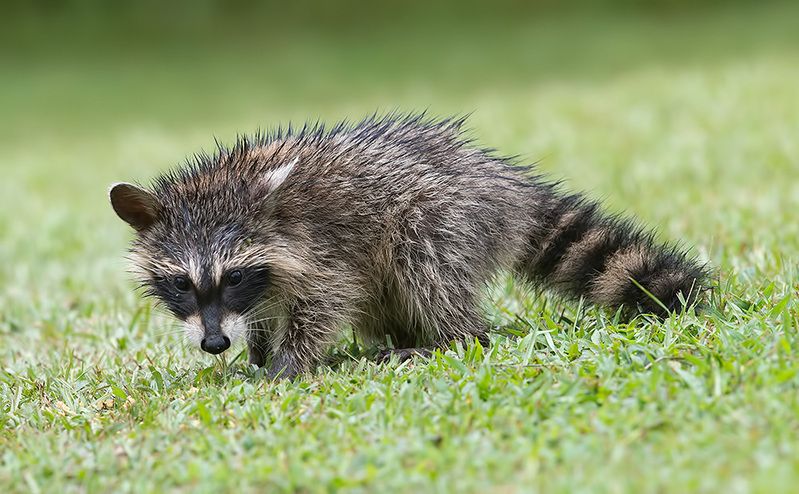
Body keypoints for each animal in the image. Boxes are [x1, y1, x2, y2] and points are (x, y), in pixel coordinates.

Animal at [110, 113, 707, 379]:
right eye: (182, 283)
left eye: (232, 276)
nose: (214, 344)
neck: (222, 185)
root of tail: (502, 183)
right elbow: (265, 312)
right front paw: (255, 351)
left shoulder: (315, 248)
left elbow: (327, 297)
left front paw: (287, 363)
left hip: (441, 215)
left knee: (426, 268)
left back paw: (447, 339)